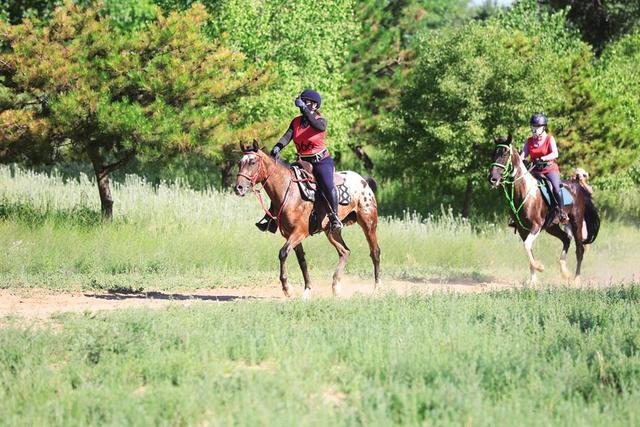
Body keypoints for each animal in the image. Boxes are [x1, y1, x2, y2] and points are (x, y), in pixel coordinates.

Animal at [235, 142, 380, 300]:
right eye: (240, 163)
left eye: (252, 162)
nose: (238, 188)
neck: (290, 192)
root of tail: (364, 181)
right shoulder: (290, 235)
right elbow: (302, 261)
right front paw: (307, 290)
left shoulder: (300, 232)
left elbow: (283, 253)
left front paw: (287, 289)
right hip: (331, 232)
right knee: (344, 252)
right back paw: (336, 287)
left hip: (368, 223)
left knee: (375, 252)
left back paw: (377, 288)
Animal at [490, 135, 600, 286]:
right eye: (493, 154)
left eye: (505, 154)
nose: (492, 179)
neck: (524, 192)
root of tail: (579, 187)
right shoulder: (522, 229)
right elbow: (528, 249)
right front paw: (533, 280)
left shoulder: (536, 225)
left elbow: (527, 246)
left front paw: (540, 267)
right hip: (552, 226)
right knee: (566, 239)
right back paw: (564, 272)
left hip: (576, 222)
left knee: (579, 250)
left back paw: (576, 279)